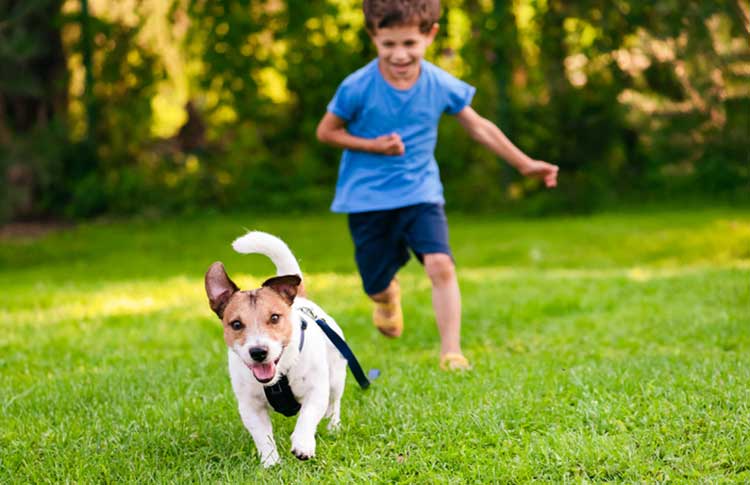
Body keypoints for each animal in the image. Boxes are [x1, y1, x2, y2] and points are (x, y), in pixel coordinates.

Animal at [204, 231, 348, 466]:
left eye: (274, 318)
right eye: (236, 324)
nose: (258, 352)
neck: (279, 375)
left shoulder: (315, 391)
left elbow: (307, 417)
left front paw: (303, 444)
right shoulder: (250, 407)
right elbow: (263, 436)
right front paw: (270, 462)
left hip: (336, 377)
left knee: (334, 403)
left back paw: (333, 427)